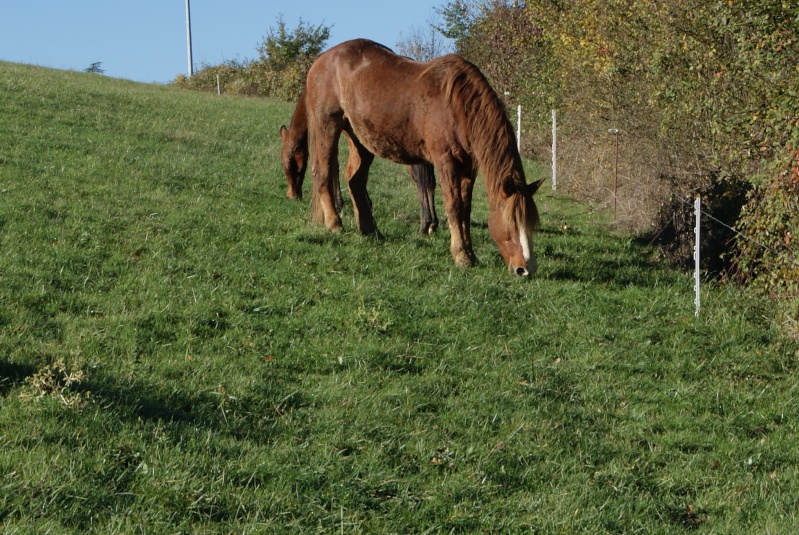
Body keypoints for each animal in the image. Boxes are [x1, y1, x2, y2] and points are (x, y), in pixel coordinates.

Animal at [282, 91, 440, 236]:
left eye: (289, 165)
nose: (292, 195)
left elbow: (336, 166)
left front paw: (340, 202)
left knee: (421, 180)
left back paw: (425, 224)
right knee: (429, 181)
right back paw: (431, 224)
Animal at [304, 39, 544, 276]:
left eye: (531, 225)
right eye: (511, 225)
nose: (526, 269)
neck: (458, 106)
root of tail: (323, 58)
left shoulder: (468, 167)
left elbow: (465, 209)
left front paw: (470, 254)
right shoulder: (445, 162)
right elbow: (454, 207)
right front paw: (461, 256)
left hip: (360, 139)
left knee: (355, 180)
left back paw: (371, 231)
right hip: (328, 125)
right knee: (323, 172)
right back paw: (335, 224)